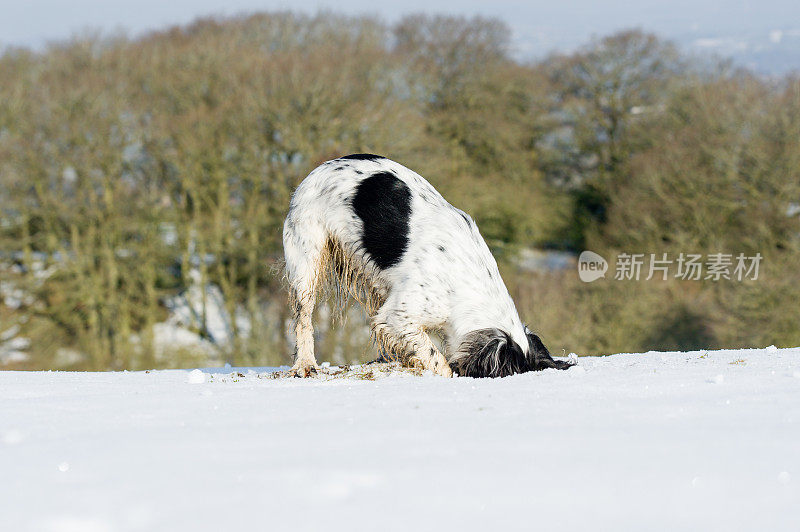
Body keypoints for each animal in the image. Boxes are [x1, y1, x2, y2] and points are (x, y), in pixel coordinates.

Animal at [282, 154, 576, 378]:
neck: (465, 283)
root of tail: (322, 166)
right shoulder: (399, 315)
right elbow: (437, 358)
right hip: (307, 262)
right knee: (303, 318)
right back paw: (305, 365)